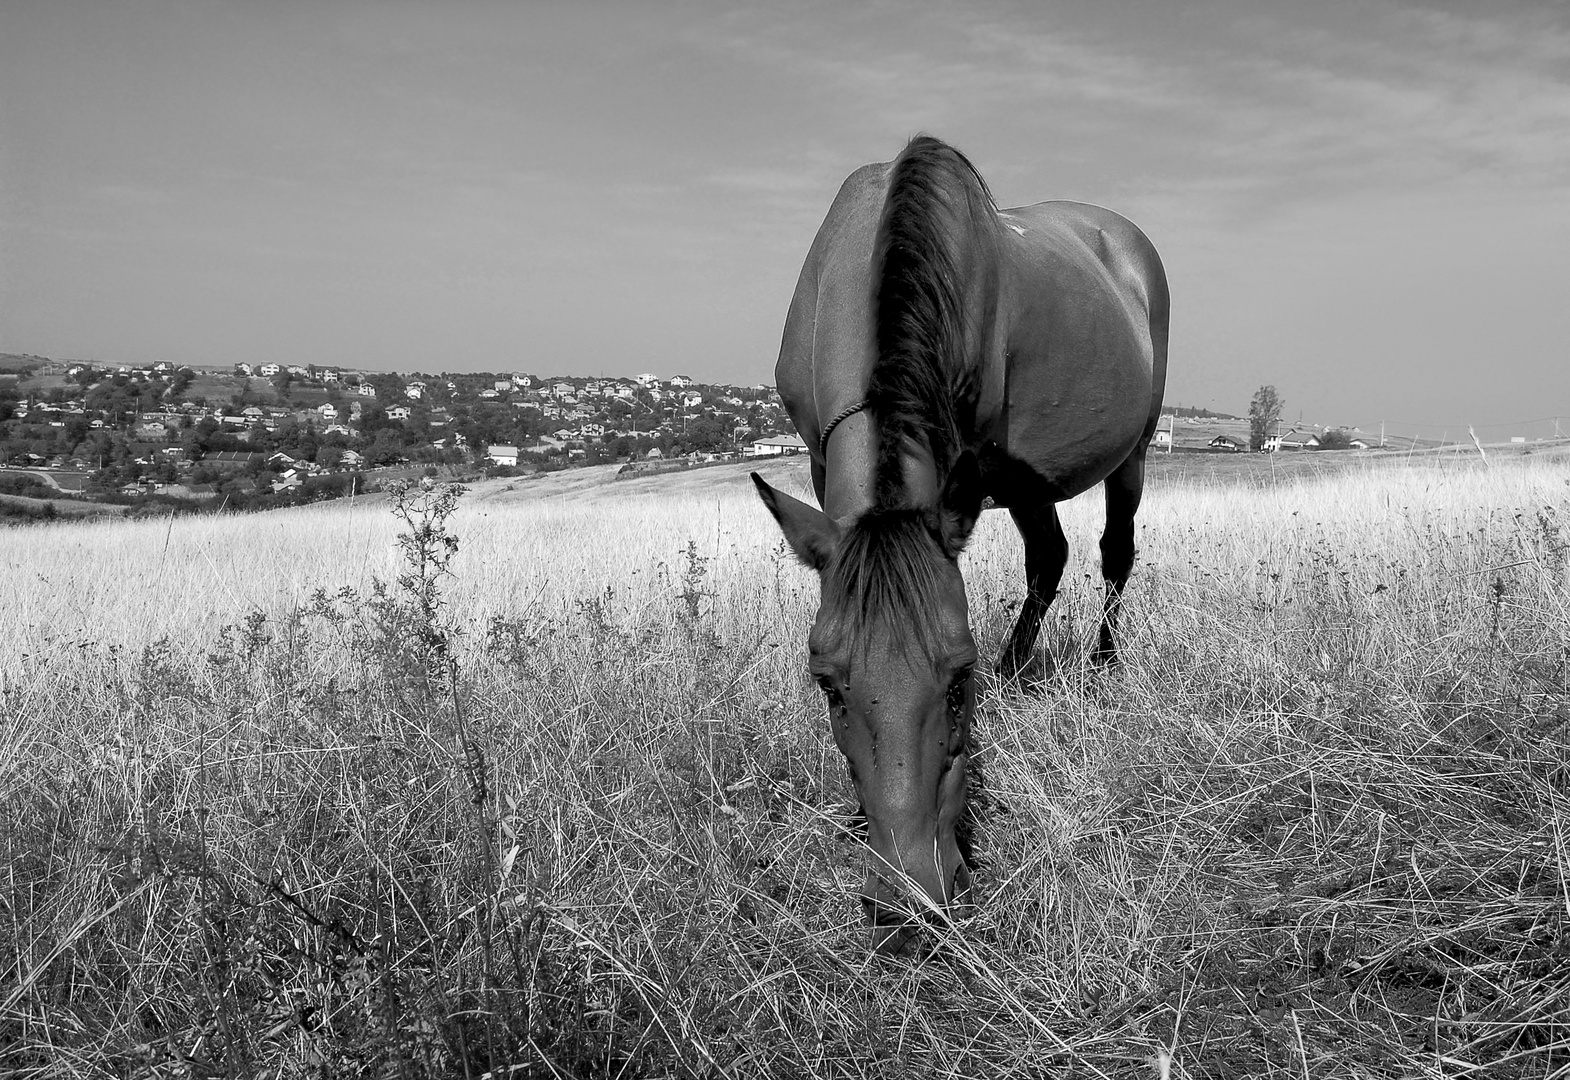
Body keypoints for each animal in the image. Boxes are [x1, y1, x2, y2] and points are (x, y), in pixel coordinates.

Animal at [747, 137, 1168, 954]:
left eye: (955, 679)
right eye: (827, 684)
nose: (909, 907)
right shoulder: (822, 460)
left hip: (1129, 452)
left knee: (1112, 554)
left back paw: (1096, 663)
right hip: (1031, 478)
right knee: (1050, 559)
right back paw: (1018, 670)